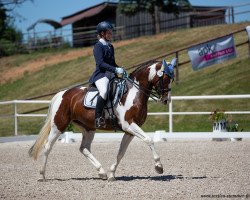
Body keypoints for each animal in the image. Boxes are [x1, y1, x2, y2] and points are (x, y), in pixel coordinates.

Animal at [28, 58, 175, 181]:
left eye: (171, 79)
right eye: (165, 78)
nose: (166, 100)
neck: (133, 93)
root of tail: (62, 94)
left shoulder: (129, 130)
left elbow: (121, 152)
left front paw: (111, 174)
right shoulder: (129, 125)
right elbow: (149, 140)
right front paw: (159, 166)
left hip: (88, 128)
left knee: (84, 148)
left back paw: (102, 172)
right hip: (58, 125)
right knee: (47, 146)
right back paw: (42, 175)